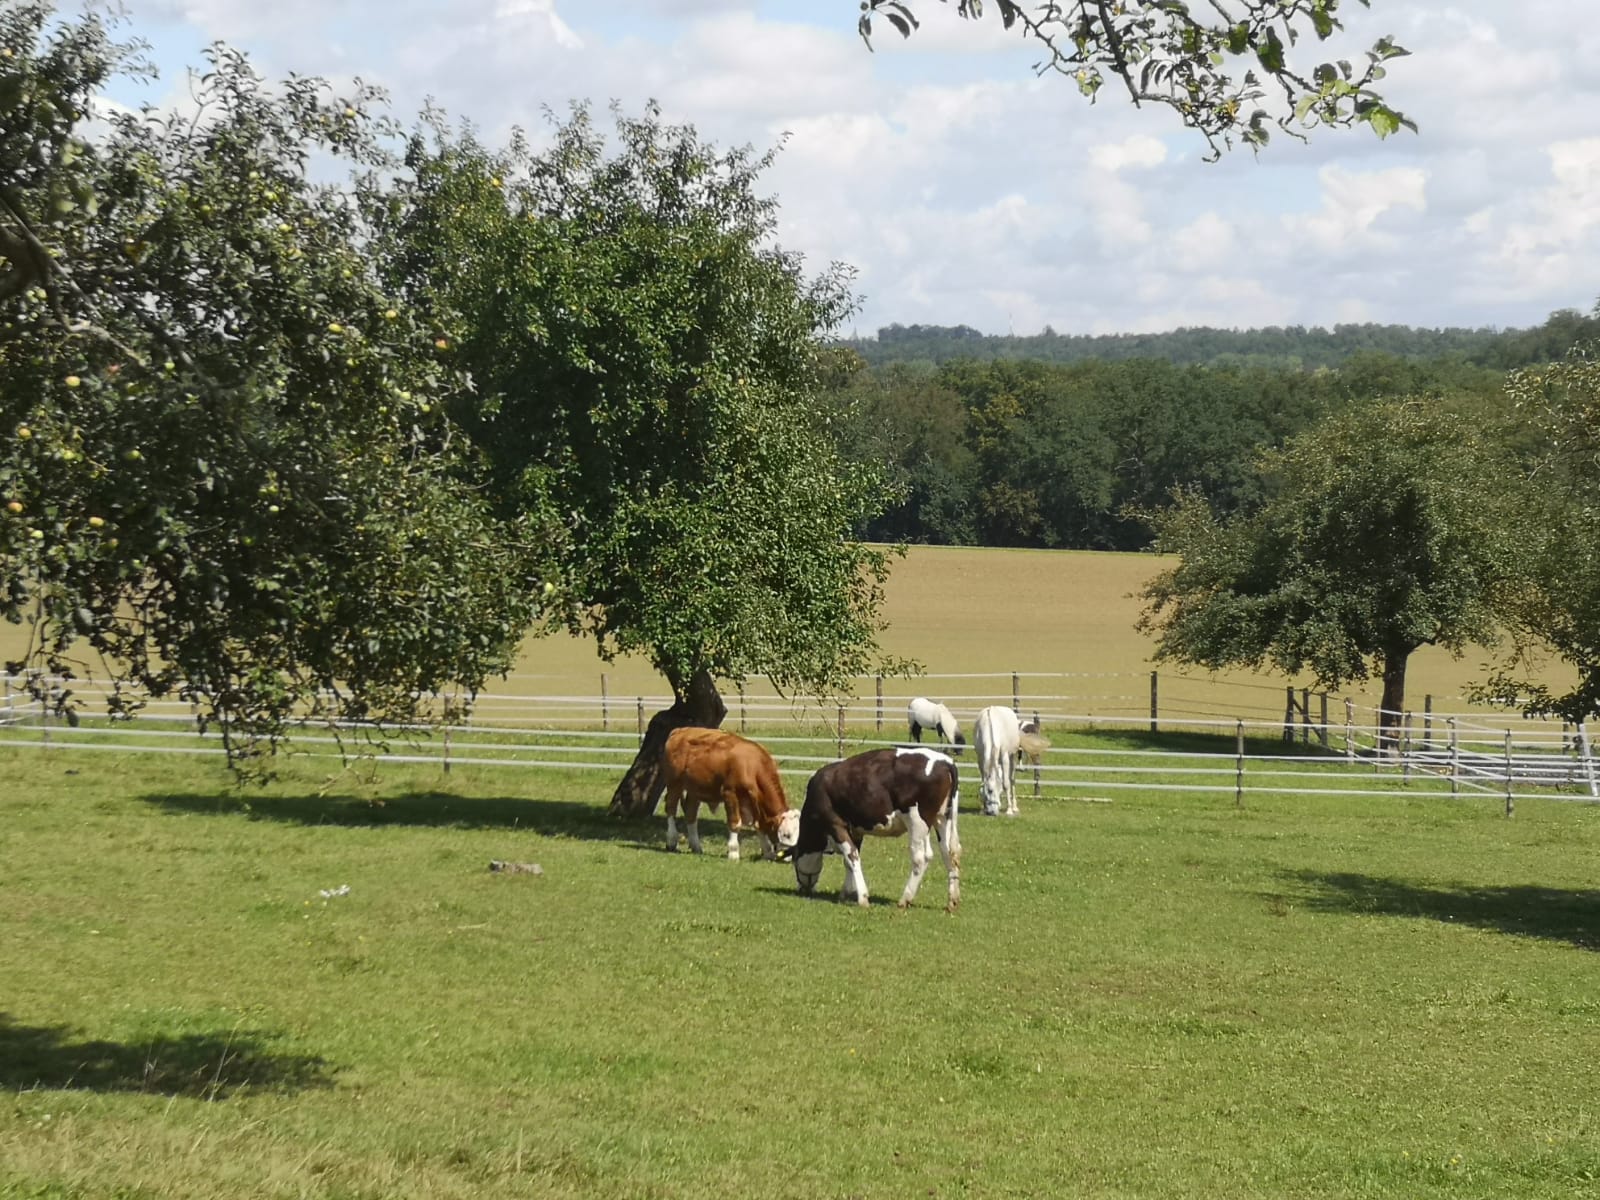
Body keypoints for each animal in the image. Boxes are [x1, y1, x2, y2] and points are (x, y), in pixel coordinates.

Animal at [660, 727, 800, 862]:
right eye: (786, 835)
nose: (789, 857)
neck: (751, 766)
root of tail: (680, 731)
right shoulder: (730, 794)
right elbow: (735, 823)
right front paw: (733, 853)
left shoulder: (755, 801)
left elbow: (759, 825)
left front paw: (767, 852)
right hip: (674, 784)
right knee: (671, 809)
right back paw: (671, 841)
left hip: (694, 790)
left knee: (691, 814)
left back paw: (696, 846)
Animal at [791, 746, 962, 911]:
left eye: (794, 862)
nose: (802, 889)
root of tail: (945, 761)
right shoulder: (856, 830)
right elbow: (849, 860)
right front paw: (846, 892)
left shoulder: (835, 824)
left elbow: (851, 856)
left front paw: (862, 897)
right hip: (942, 819)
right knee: (948, 854)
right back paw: (952, 901)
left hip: (917, 821)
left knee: (921, 858)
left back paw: (904, 899)